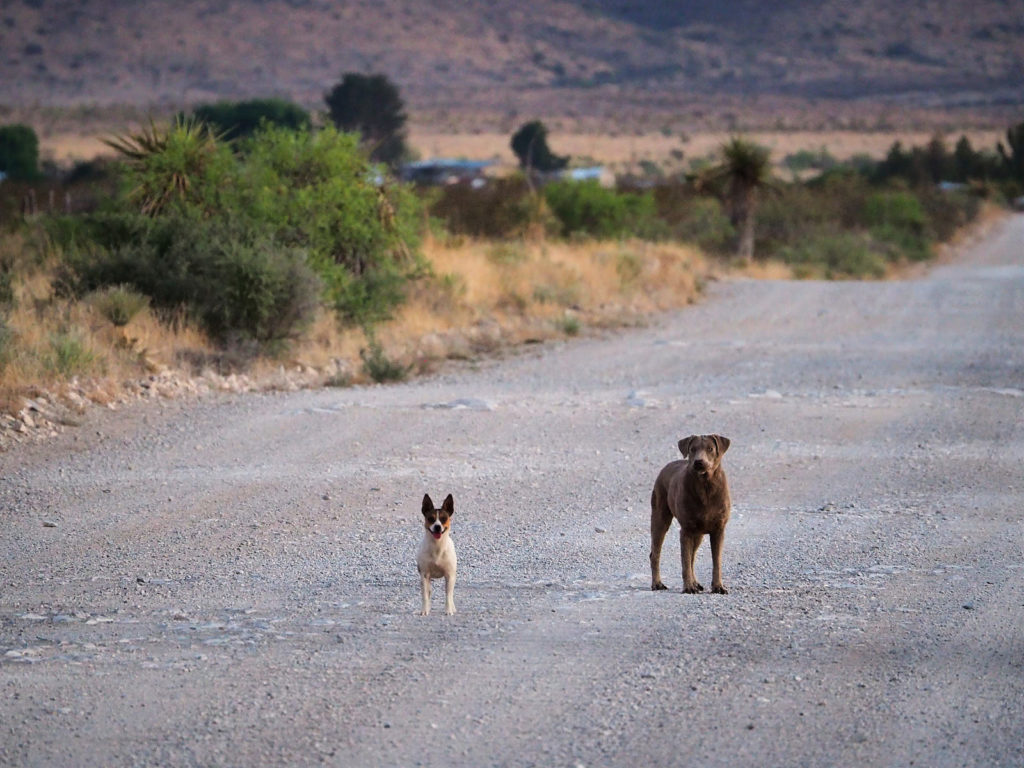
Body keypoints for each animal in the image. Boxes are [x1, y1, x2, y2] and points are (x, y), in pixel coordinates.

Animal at [651, 434, 733, 593]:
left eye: (710, 449)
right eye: (692, 449)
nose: (699, 462)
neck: (705, 486)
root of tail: (665, 468)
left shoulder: (719, 530)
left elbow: (716, 562)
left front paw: (718, 586)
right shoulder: (686, 530)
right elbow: (685, 562)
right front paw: (688, 587)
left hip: (698, 533)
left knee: (693, 556)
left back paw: (696, 583)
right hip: (659, 517)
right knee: (655, 553)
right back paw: (657, 584)